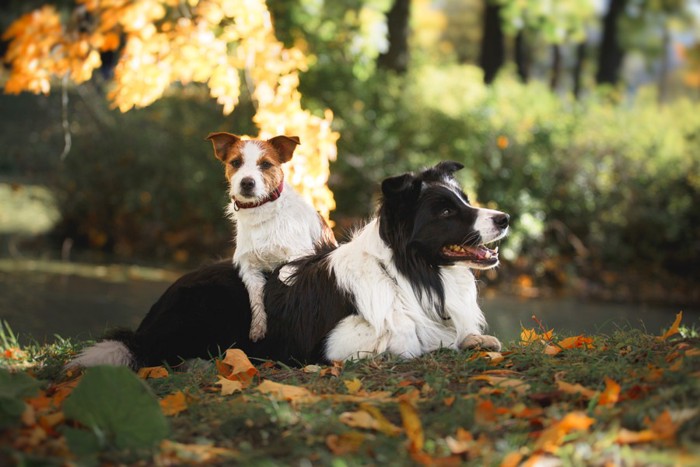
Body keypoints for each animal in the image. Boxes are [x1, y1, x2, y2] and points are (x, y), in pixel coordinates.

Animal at [68, 163, 508, 372]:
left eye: (464, 200)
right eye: (445, 211)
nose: (504, 218)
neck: (411, 275)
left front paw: (475, 339)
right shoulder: (335, 343)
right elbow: (403, 342)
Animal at [205, 133, 336, 342]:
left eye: (266, 164)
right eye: (235, 162)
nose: (247, 182)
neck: (261, 211)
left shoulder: (304, 253)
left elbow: (284, 272)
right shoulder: (249, 269)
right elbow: (256, 299)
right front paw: (258, 329)